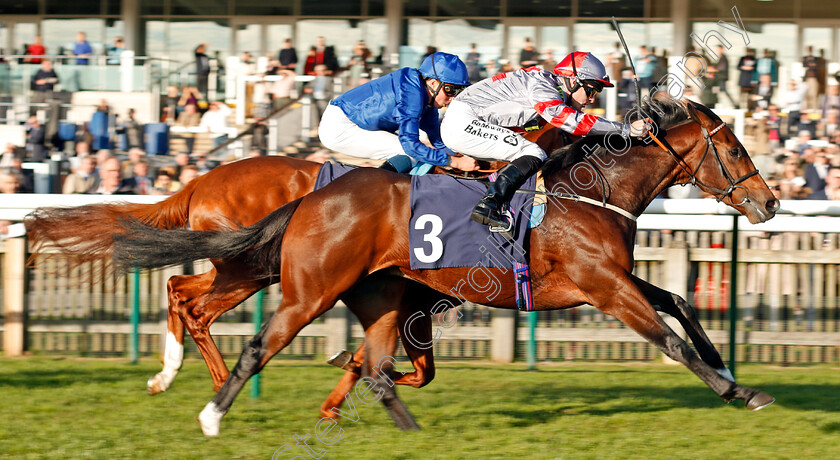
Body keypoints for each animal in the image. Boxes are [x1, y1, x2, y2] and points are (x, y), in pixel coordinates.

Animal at [108, 98, 776, 434]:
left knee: (194, 296)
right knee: (214, 313)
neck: (587, 191)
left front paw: (726, 364)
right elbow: (669, 338)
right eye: (734, 147)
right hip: (288, 281)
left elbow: (679, 301)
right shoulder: (602, 287)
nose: (769, 202)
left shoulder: (611, 278)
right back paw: (207, 402)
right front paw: (735, 389)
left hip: (338, 284)